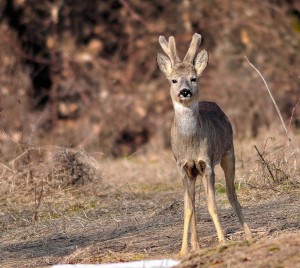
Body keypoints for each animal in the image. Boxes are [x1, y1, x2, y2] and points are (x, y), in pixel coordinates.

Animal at [157, 33, 253, 255]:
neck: (190, 144)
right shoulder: (183, 168)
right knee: (195, 202)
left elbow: (212, 205)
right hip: (196, 172)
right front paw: (184, 250)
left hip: (228, 153)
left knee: (231, 193)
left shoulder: (207, 163)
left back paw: (249, 236)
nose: (184, 91)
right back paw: (196, 245)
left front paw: (223, 241)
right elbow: (188, 208)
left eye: (194, 78)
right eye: (174, 80)